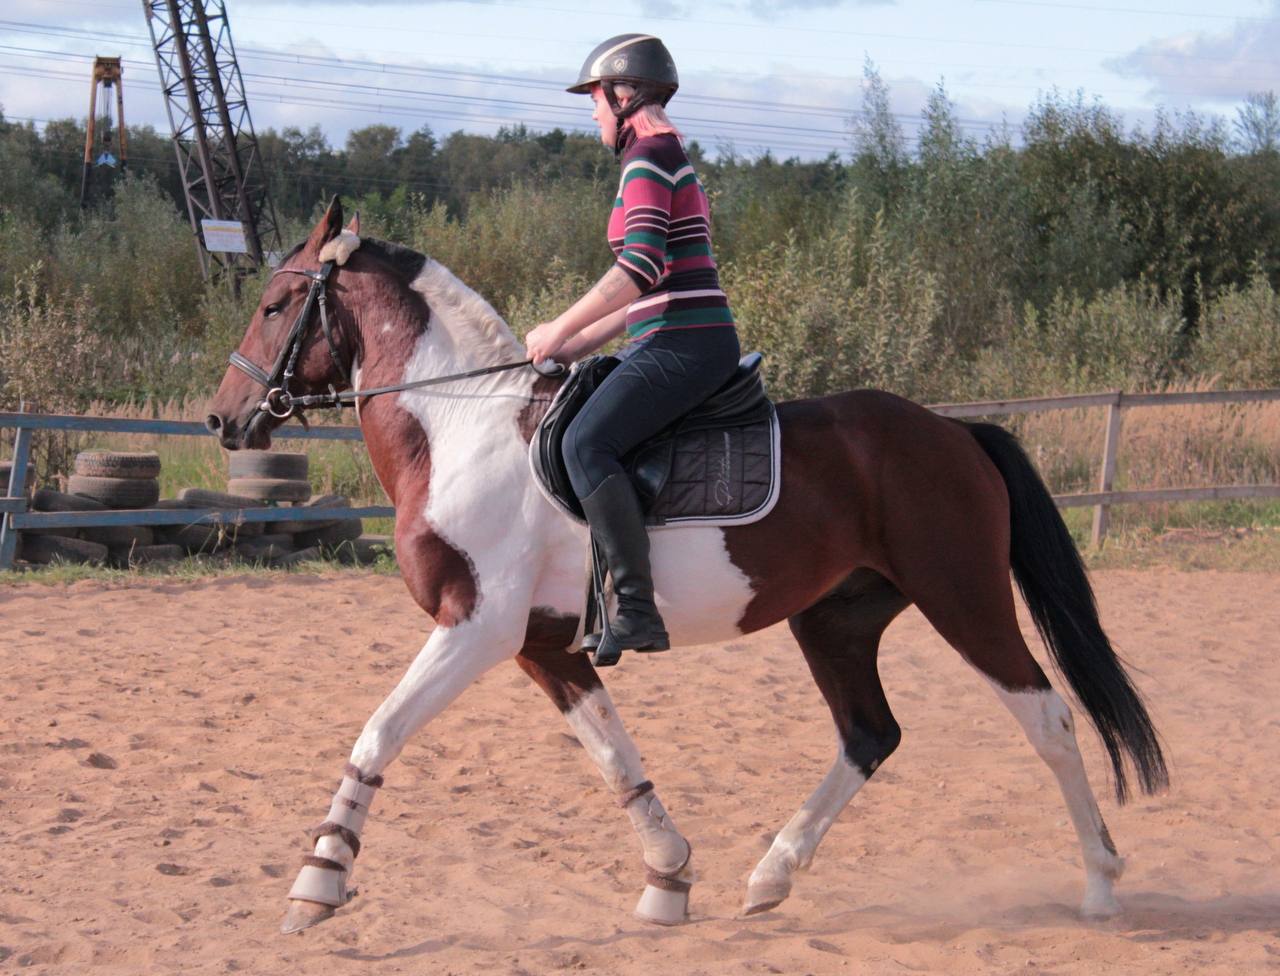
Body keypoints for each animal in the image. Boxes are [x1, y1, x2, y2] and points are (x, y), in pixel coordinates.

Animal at [204, 197, 1167, 937]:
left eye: (278, 303)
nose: (223, 418)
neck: (460, 424)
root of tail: (954, 432)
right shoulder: (542, 644)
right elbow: (613, 758)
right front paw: (668, 880)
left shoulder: (477, 627)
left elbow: (379, 732)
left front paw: (317, 884)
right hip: (837, 618)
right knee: (869, 734)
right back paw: (771, 875)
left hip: (963, 599)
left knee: (1048, 720)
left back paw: (1100, 884)